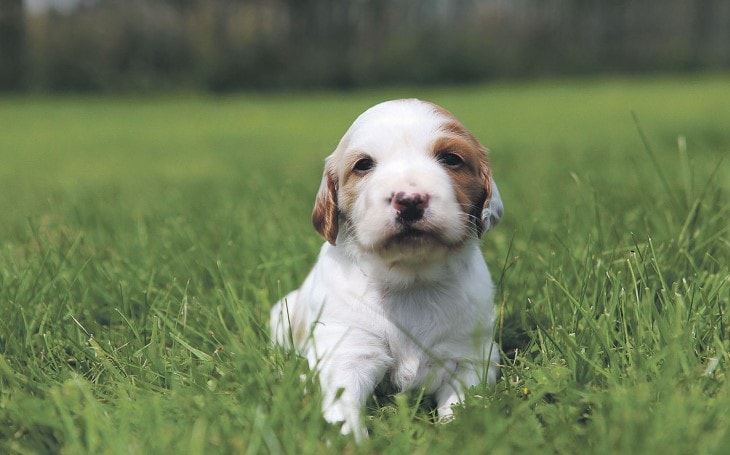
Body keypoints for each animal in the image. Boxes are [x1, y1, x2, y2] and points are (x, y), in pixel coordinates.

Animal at [270, 100, 504, 442]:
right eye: (363, 165)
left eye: (451, 159)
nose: (410, 200)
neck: (411, 280)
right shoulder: (348, 353)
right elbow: (343, 410)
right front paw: (350, 442)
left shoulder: (470, 355)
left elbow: (462, 405)